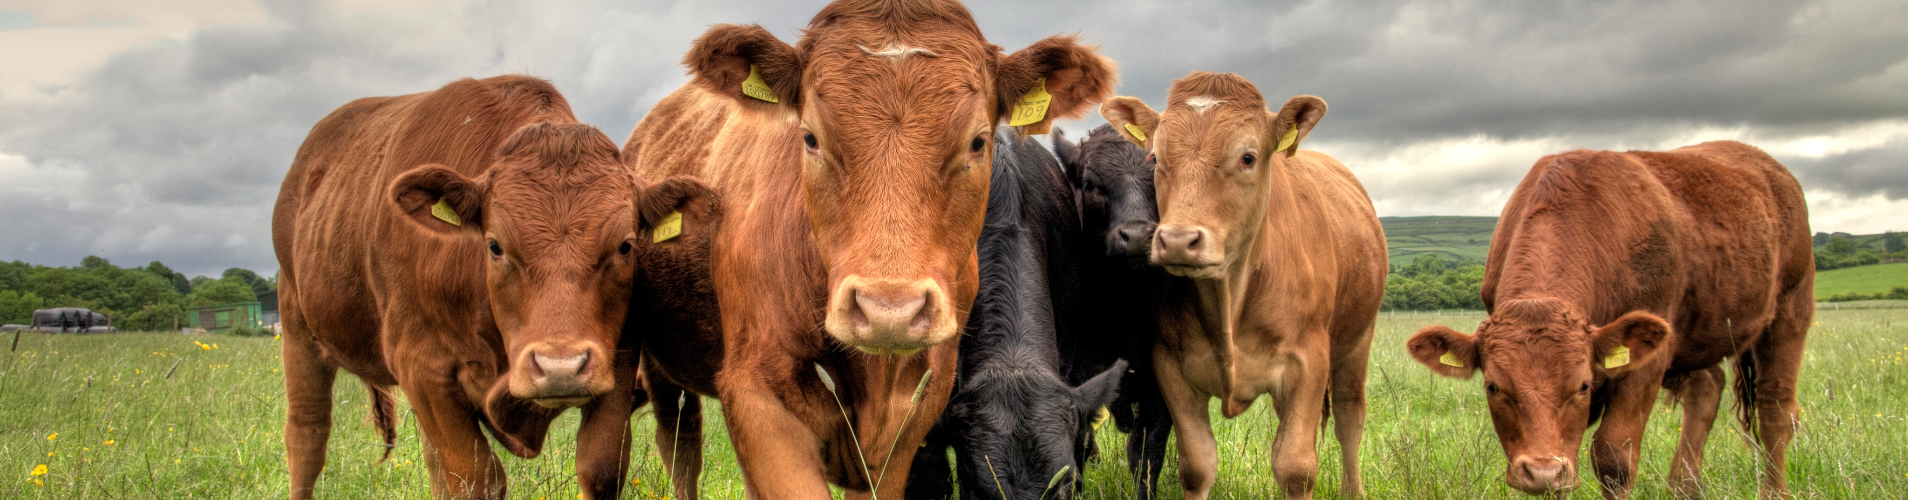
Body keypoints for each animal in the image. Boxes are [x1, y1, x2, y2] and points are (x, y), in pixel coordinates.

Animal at [272, 75, 716, 499]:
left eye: (625, 245)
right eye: (495, 245)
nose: (559, 368)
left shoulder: (617, 361)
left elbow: (601, 470)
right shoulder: (422, 366)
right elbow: (475, 478)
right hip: (296, 325)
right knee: (307, 436)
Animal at [1098, 72, 1387, 500]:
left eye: (1247, 157)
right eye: (1156, 159)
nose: (1178, 240)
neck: (1229, 298)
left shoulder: (1309, 362)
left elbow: (1295, 467)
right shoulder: (1171, 367)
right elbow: (1197, 466)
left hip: (1357, 341)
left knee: (1350, 417)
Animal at [1404, 141, 1813, 499]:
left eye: (1583, 385)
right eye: (1493, 387)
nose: (1541, 471)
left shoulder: (1645, 364)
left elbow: (1613, 456)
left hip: (1791, 309)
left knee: (1775, 409)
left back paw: (1774, 491)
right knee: (1707, 387)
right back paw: (1685, 488)